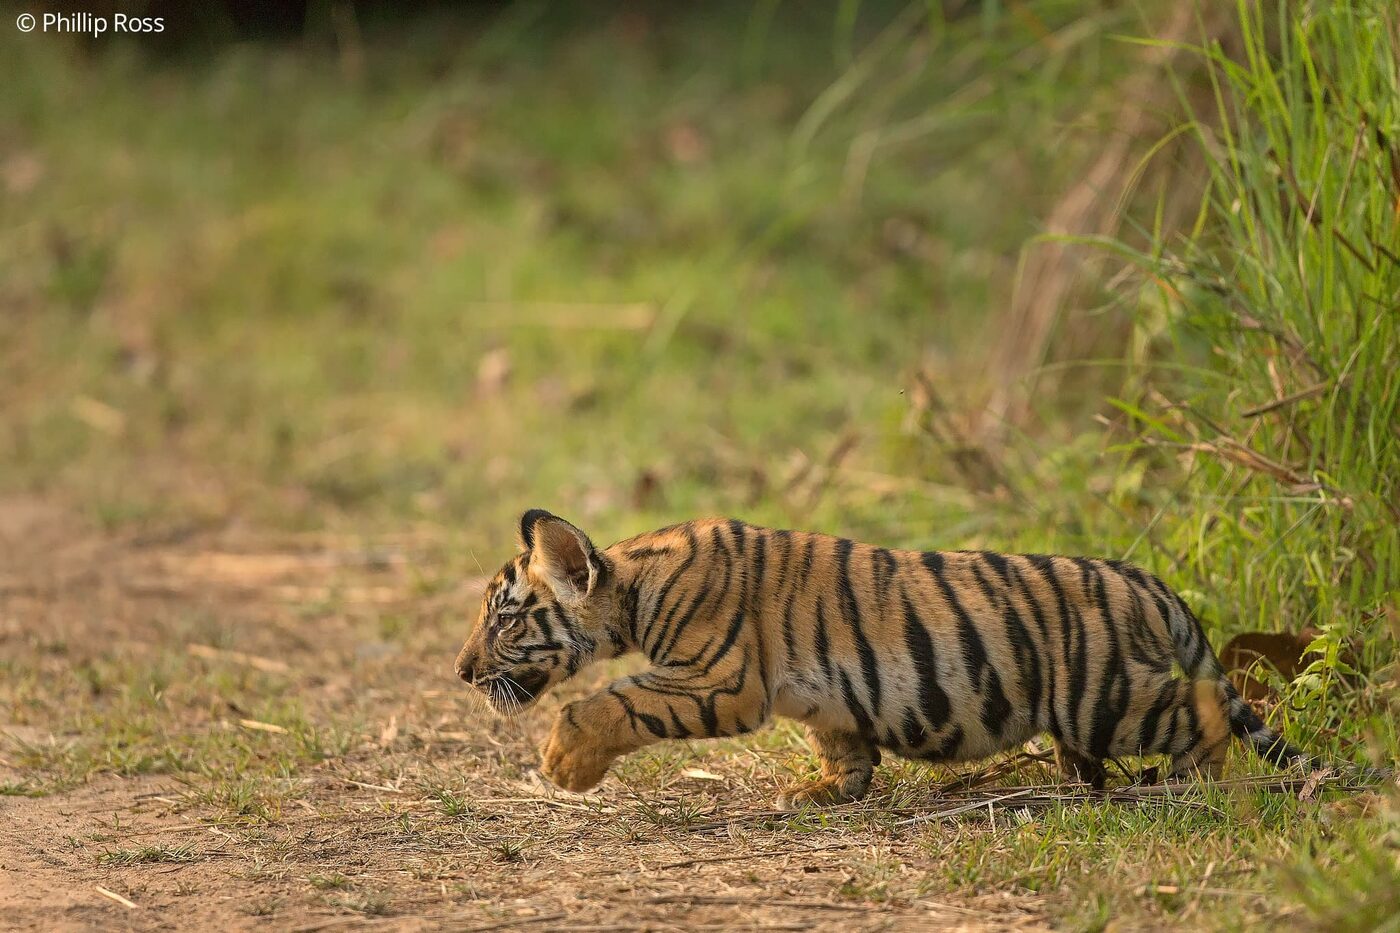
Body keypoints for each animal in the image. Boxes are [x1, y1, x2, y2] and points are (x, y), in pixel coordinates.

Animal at [453, 509, 1311, 807]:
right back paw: (1086, 782)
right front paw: (825, 790)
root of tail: (1150, 582)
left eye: (503, 617)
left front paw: (564, 762)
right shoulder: (822, 696)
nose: (461, 672)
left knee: (1205, 711)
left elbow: (610, 700)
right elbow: (844, 745)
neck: (634, 587)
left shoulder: (719, 679)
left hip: (1103, 697)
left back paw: (1193, 783)